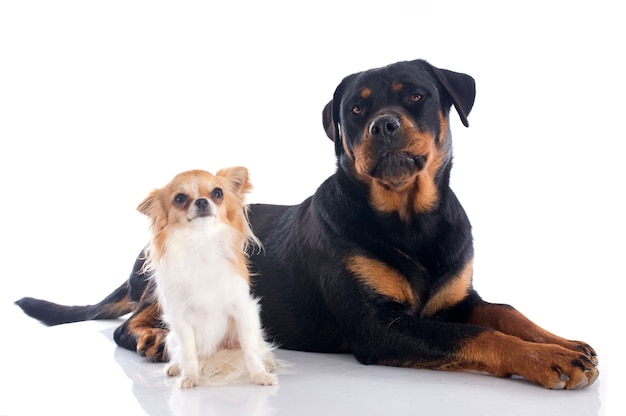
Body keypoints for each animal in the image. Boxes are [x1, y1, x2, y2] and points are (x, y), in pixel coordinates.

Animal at [138, 167, 276, 388]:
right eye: (179, 198)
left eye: (218, 193)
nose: (202, 201)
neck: (201, 247)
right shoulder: (181, 320)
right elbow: (188, 353)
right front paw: (190, 377)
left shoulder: (243, 310)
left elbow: (249, 350)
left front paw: (258, 375)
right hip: (171, 337)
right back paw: (175, 367)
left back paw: (268, 363)